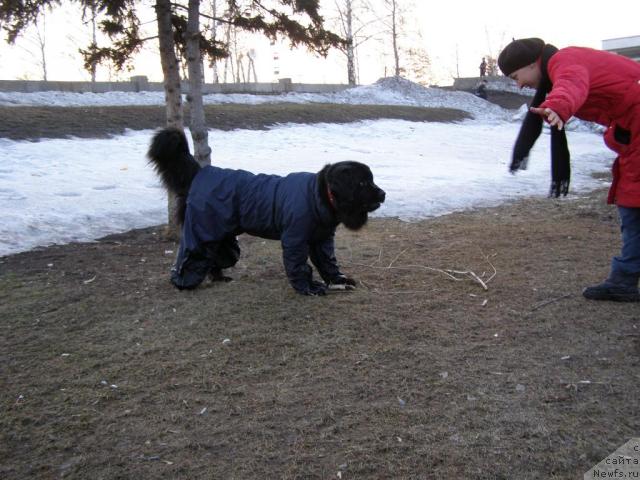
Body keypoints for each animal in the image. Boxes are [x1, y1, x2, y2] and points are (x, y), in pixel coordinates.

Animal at [149, 127, 384, 294]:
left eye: (371, 180)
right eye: (362, 183)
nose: (383, 194)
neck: (320, 195)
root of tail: (200, 173)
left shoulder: (321, 240)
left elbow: (328, 262)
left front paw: (338, 281)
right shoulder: (295, 239)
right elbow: (299, 265)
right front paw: (308, 288)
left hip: (222, 239)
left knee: (213, 258)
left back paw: (218, 277)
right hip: (202, 232)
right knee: (192, 257)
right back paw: (182, 283)